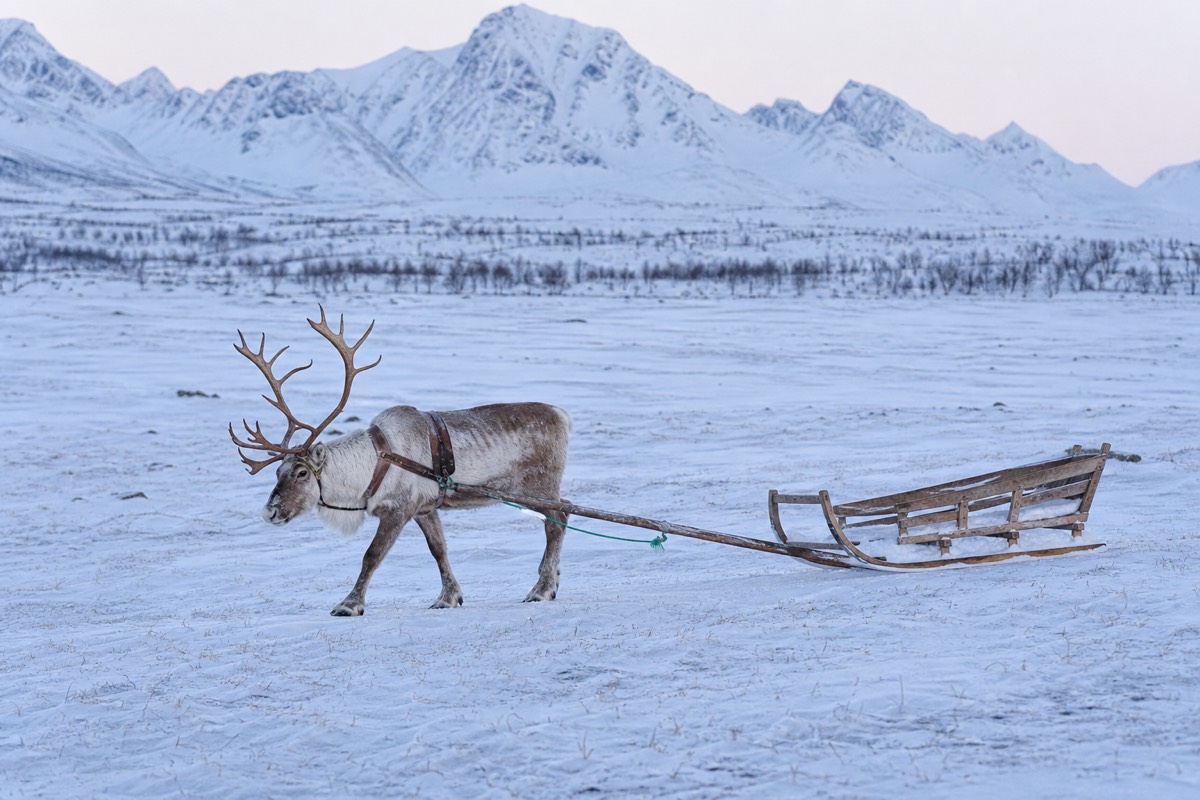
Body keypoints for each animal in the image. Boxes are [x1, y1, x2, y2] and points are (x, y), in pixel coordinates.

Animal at [229, 307, 572, 616]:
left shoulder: (399, 509)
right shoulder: (425, 508)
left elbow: (372, 555)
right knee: (563, 512)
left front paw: (349, 604)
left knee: (557, 519)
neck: (371, 465)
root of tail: (562, 416)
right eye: (278, 471)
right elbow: (439, 550)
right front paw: (448, 597)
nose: (270, 512)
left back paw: (542, 589)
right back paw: (550, 581)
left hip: (537, 486)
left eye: (301, 472)